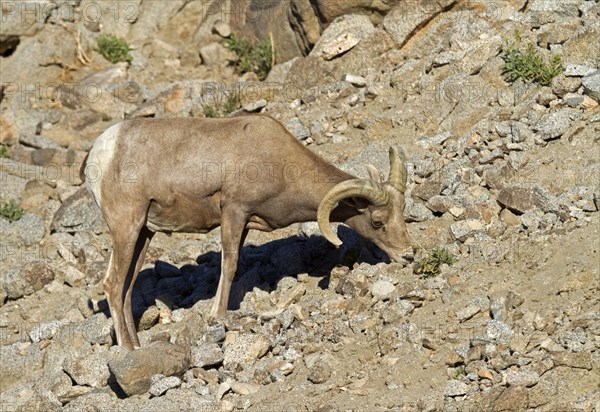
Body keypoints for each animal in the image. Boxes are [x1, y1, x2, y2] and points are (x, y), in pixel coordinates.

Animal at [84, 115, 412, 348]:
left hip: (143, 233)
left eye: (402, 211)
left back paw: (137, 345)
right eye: (378, 222)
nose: (408, 256)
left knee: (126, 289)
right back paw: (128, 350)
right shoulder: (234, 211)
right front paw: (217, 316)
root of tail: (101, 151)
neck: (278, 163)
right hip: (127, 227)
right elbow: (229, 265)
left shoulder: (243, 223)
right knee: (113, 284)